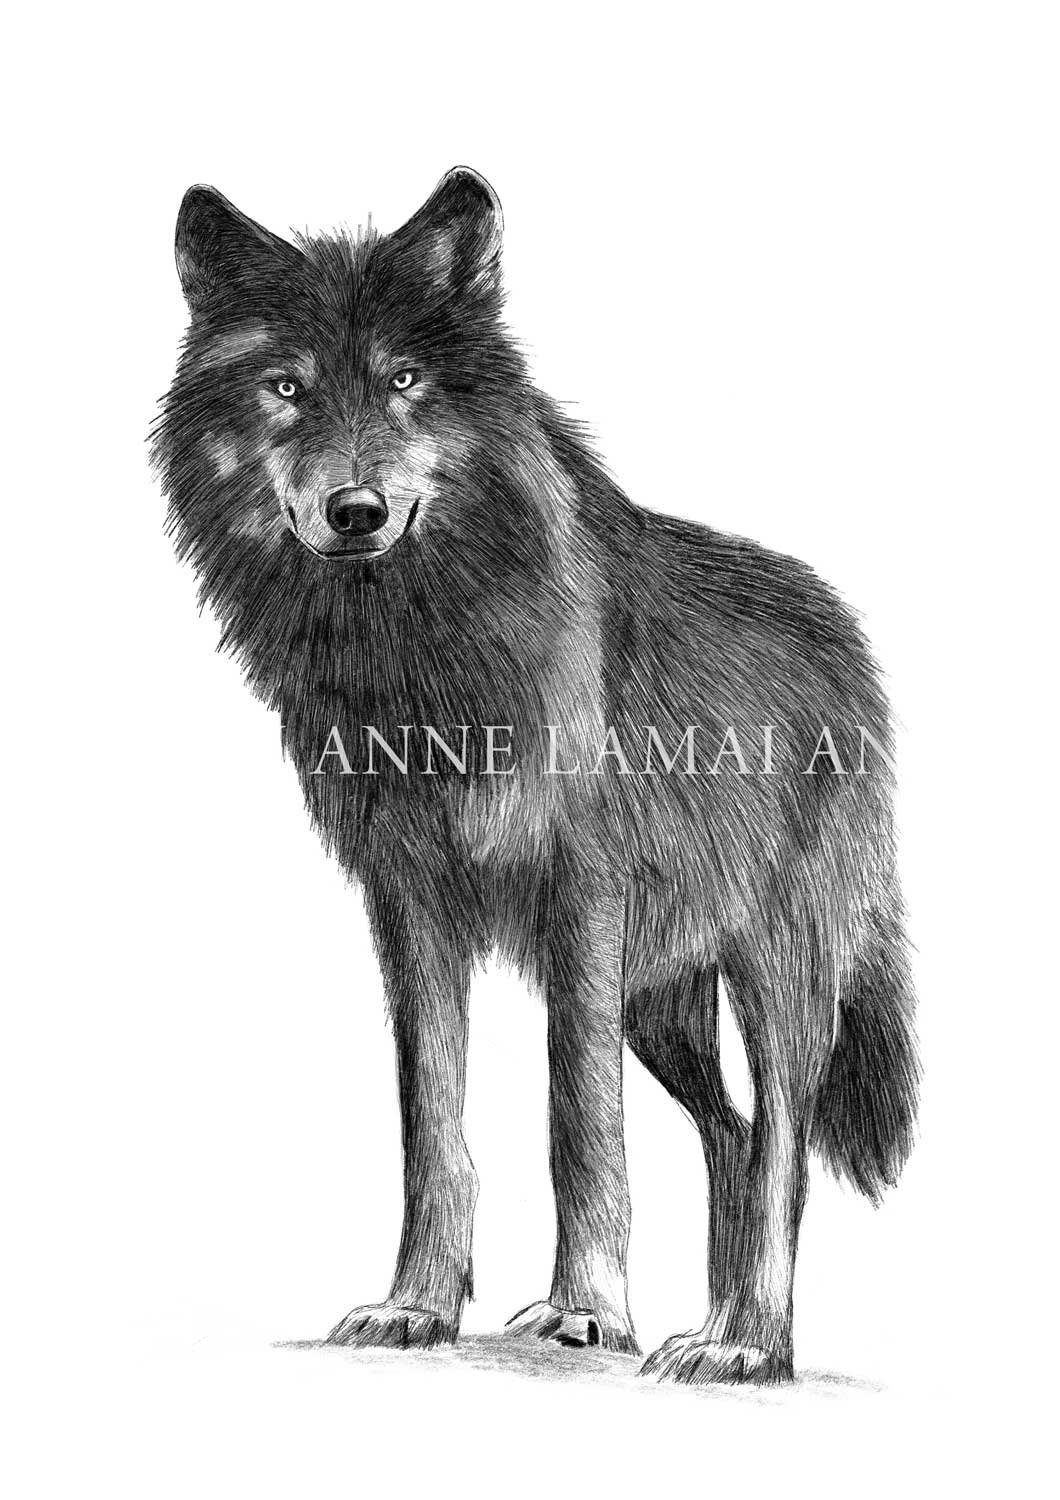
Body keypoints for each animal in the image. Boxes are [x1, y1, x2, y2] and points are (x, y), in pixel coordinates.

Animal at [154, 167, 918, 1384]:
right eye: (287, 388)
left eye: (405, 381)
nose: (356, 512)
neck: (418, 657)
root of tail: (848, 638)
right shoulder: (408, 901)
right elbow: (433, 1125)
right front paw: (415, 1305)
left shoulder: (584, 897)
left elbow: (580, 1120)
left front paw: (584, 1312)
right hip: (664, 1008)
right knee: (736, 1138)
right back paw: (720, 1326)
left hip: (776, 973)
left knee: (784, 1147)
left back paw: (745, 1347)